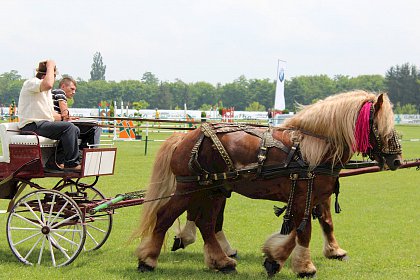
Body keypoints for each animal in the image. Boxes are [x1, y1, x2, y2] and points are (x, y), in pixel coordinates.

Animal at [133, 91, 402, 276]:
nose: (397, 159)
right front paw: (304, 267)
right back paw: (148, 260)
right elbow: (304, 231)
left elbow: (301, 229)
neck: (312, 148)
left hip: (213, 190)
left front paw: (276, 258)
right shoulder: (304, 194)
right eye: (380, 125)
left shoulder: (307, 197)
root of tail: (183, 137)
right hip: (190, 188)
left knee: (206, 224)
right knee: (166, 217)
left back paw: (222, 262)